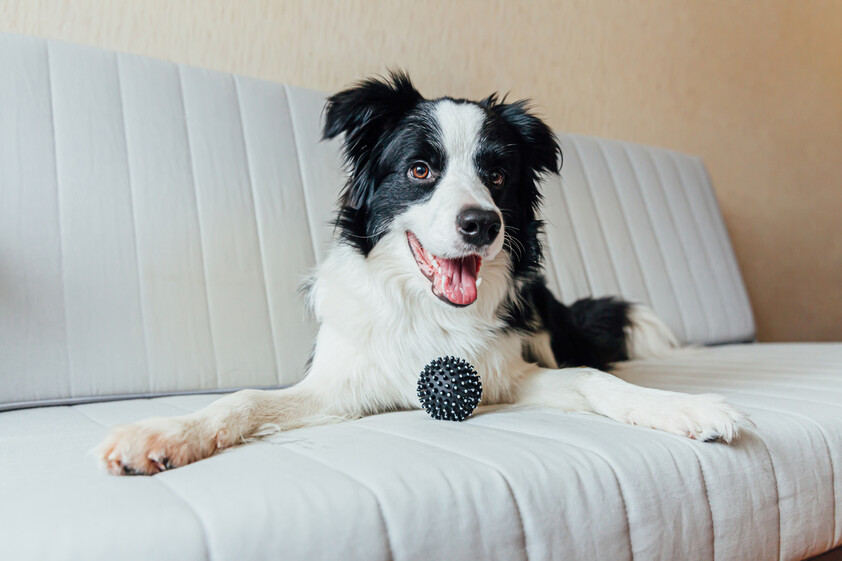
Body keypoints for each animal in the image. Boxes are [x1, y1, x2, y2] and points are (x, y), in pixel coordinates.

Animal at [97, 70, 740, 472]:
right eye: (420, 169)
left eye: (497, 175)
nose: (482, 224)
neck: (428, 311)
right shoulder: (341, 385)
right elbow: (246, 399)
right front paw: (164, 434)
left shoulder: (509, 374)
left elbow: (595, 380)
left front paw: (685, 408)